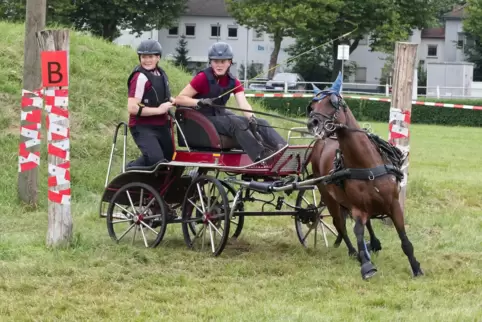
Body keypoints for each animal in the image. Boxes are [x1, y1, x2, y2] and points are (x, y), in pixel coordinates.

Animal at [306, 73, 424, 280]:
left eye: (332, 101)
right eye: (312, 105)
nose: (312, 124)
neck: (366, 165)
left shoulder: (394, 204)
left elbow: (404, 239)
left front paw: (416, 267)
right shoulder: (358, 208)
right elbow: (358, 231)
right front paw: (366, 264)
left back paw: (374, 243)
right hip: (329, 197)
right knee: (340, 224)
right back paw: (353, 252)